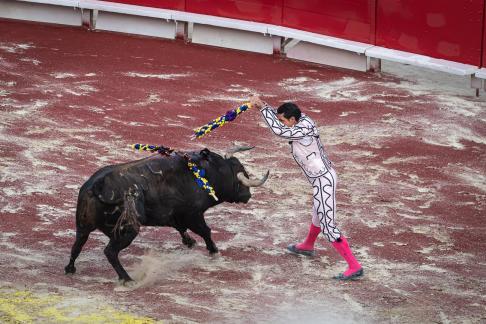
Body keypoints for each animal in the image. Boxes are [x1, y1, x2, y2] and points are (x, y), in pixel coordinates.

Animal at [63, 147, 270, 284]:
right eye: (240, 176)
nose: (248, 195)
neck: (206, 172)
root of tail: (97, 186)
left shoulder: (174, 216)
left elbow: (181, 228)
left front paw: (189, 242)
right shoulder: (193, 215)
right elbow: (205, 231)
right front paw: (213, 251)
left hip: (83, 226)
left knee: (77, 246)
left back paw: (70, 269)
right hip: (128, 230)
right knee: (110, 252)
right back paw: (128, 279)